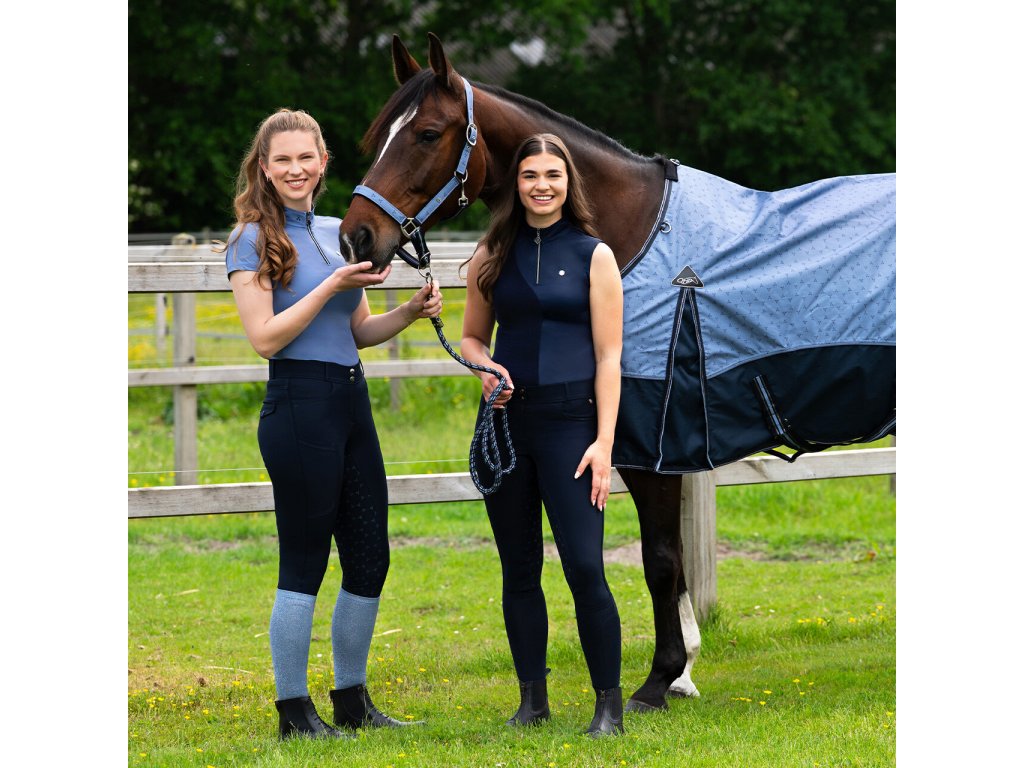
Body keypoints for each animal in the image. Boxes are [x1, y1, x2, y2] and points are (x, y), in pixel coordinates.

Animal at [338, 33, 895, 713]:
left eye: (426, 133)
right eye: (378, 135)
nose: (356, 238)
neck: (632, 238)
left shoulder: (652, 442)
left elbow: (660, 560)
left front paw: (659, 680)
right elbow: (673, 564)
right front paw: (683, 672)